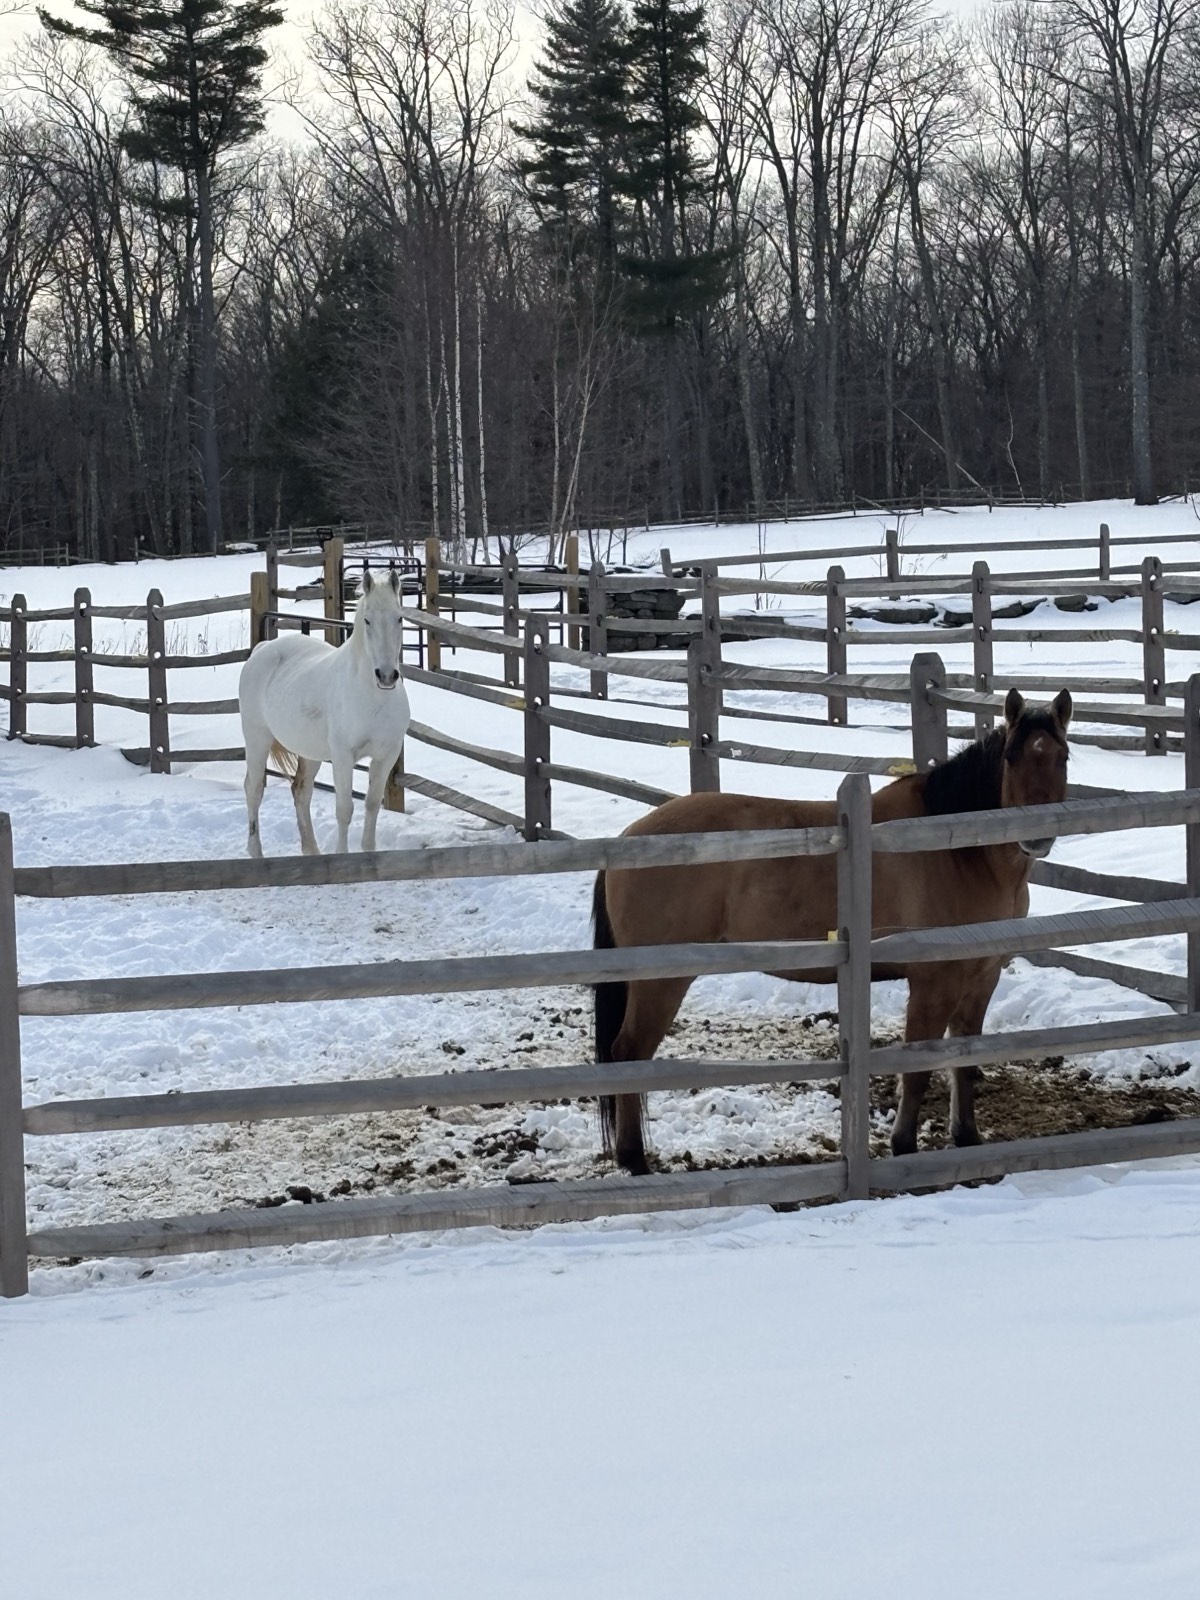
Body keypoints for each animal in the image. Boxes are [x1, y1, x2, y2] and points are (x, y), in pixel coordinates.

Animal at [239, 568, 411, 857]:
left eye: (399, 617)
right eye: (367, 620)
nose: (386, 676)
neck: (374, 698)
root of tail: (261, 650)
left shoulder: (386, 755)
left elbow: (372, 804)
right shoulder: (342, 756)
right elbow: (344, 810)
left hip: (309, 753)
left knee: (301, 791)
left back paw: (312, 852)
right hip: (256, 740)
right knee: (253, 790)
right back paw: (256, 852)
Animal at [591, 687, 1072, 1174]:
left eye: (1062, 756)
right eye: (1011, 757)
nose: (1036, 837)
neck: (956, 848)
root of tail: (629, 837)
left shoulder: (981, 976)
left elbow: (965, 1063)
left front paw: (967, 1137)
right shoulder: (933, 983)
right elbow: (918, 1070)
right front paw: (903, 1146)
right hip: (659, 981)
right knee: (628, 1052)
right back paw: (634, 1160)